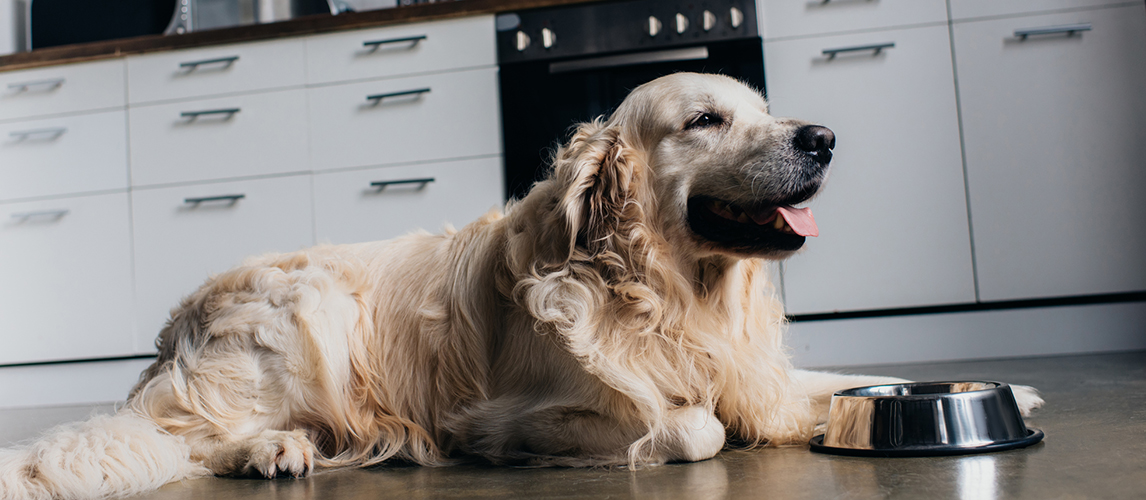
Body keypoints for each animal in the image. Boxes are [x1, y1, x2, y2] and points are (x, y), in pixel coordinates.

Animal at [0, 72, 1040, 497]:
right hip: (305, 312)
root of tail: (175, 329)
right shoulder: (515, 413)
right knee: (185, 436)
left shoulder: (757, 375)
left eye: (766, 109)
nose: (822, 137)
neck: (659, 288)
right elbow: (692, 428)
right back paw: (271, 452)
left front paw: (1011, 390)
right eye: (705, 120)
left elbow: (836, 383)